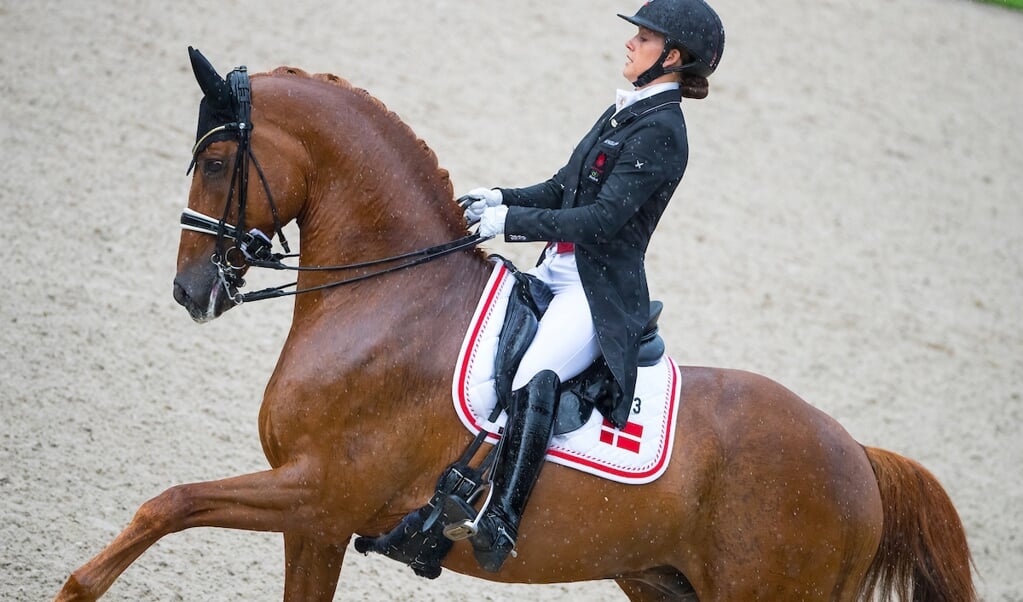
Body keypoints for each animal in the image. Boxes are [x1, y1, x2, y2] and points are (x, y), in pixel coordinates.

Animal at [56, 52, 973, 602]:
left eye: (215, 162)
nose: (190, 290)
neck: (391, 300)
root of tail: (859, 457)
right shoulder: (315, 524)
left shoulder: (317, 491)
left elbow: (168, 502)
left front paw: (76, 587)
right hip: (660, 580)